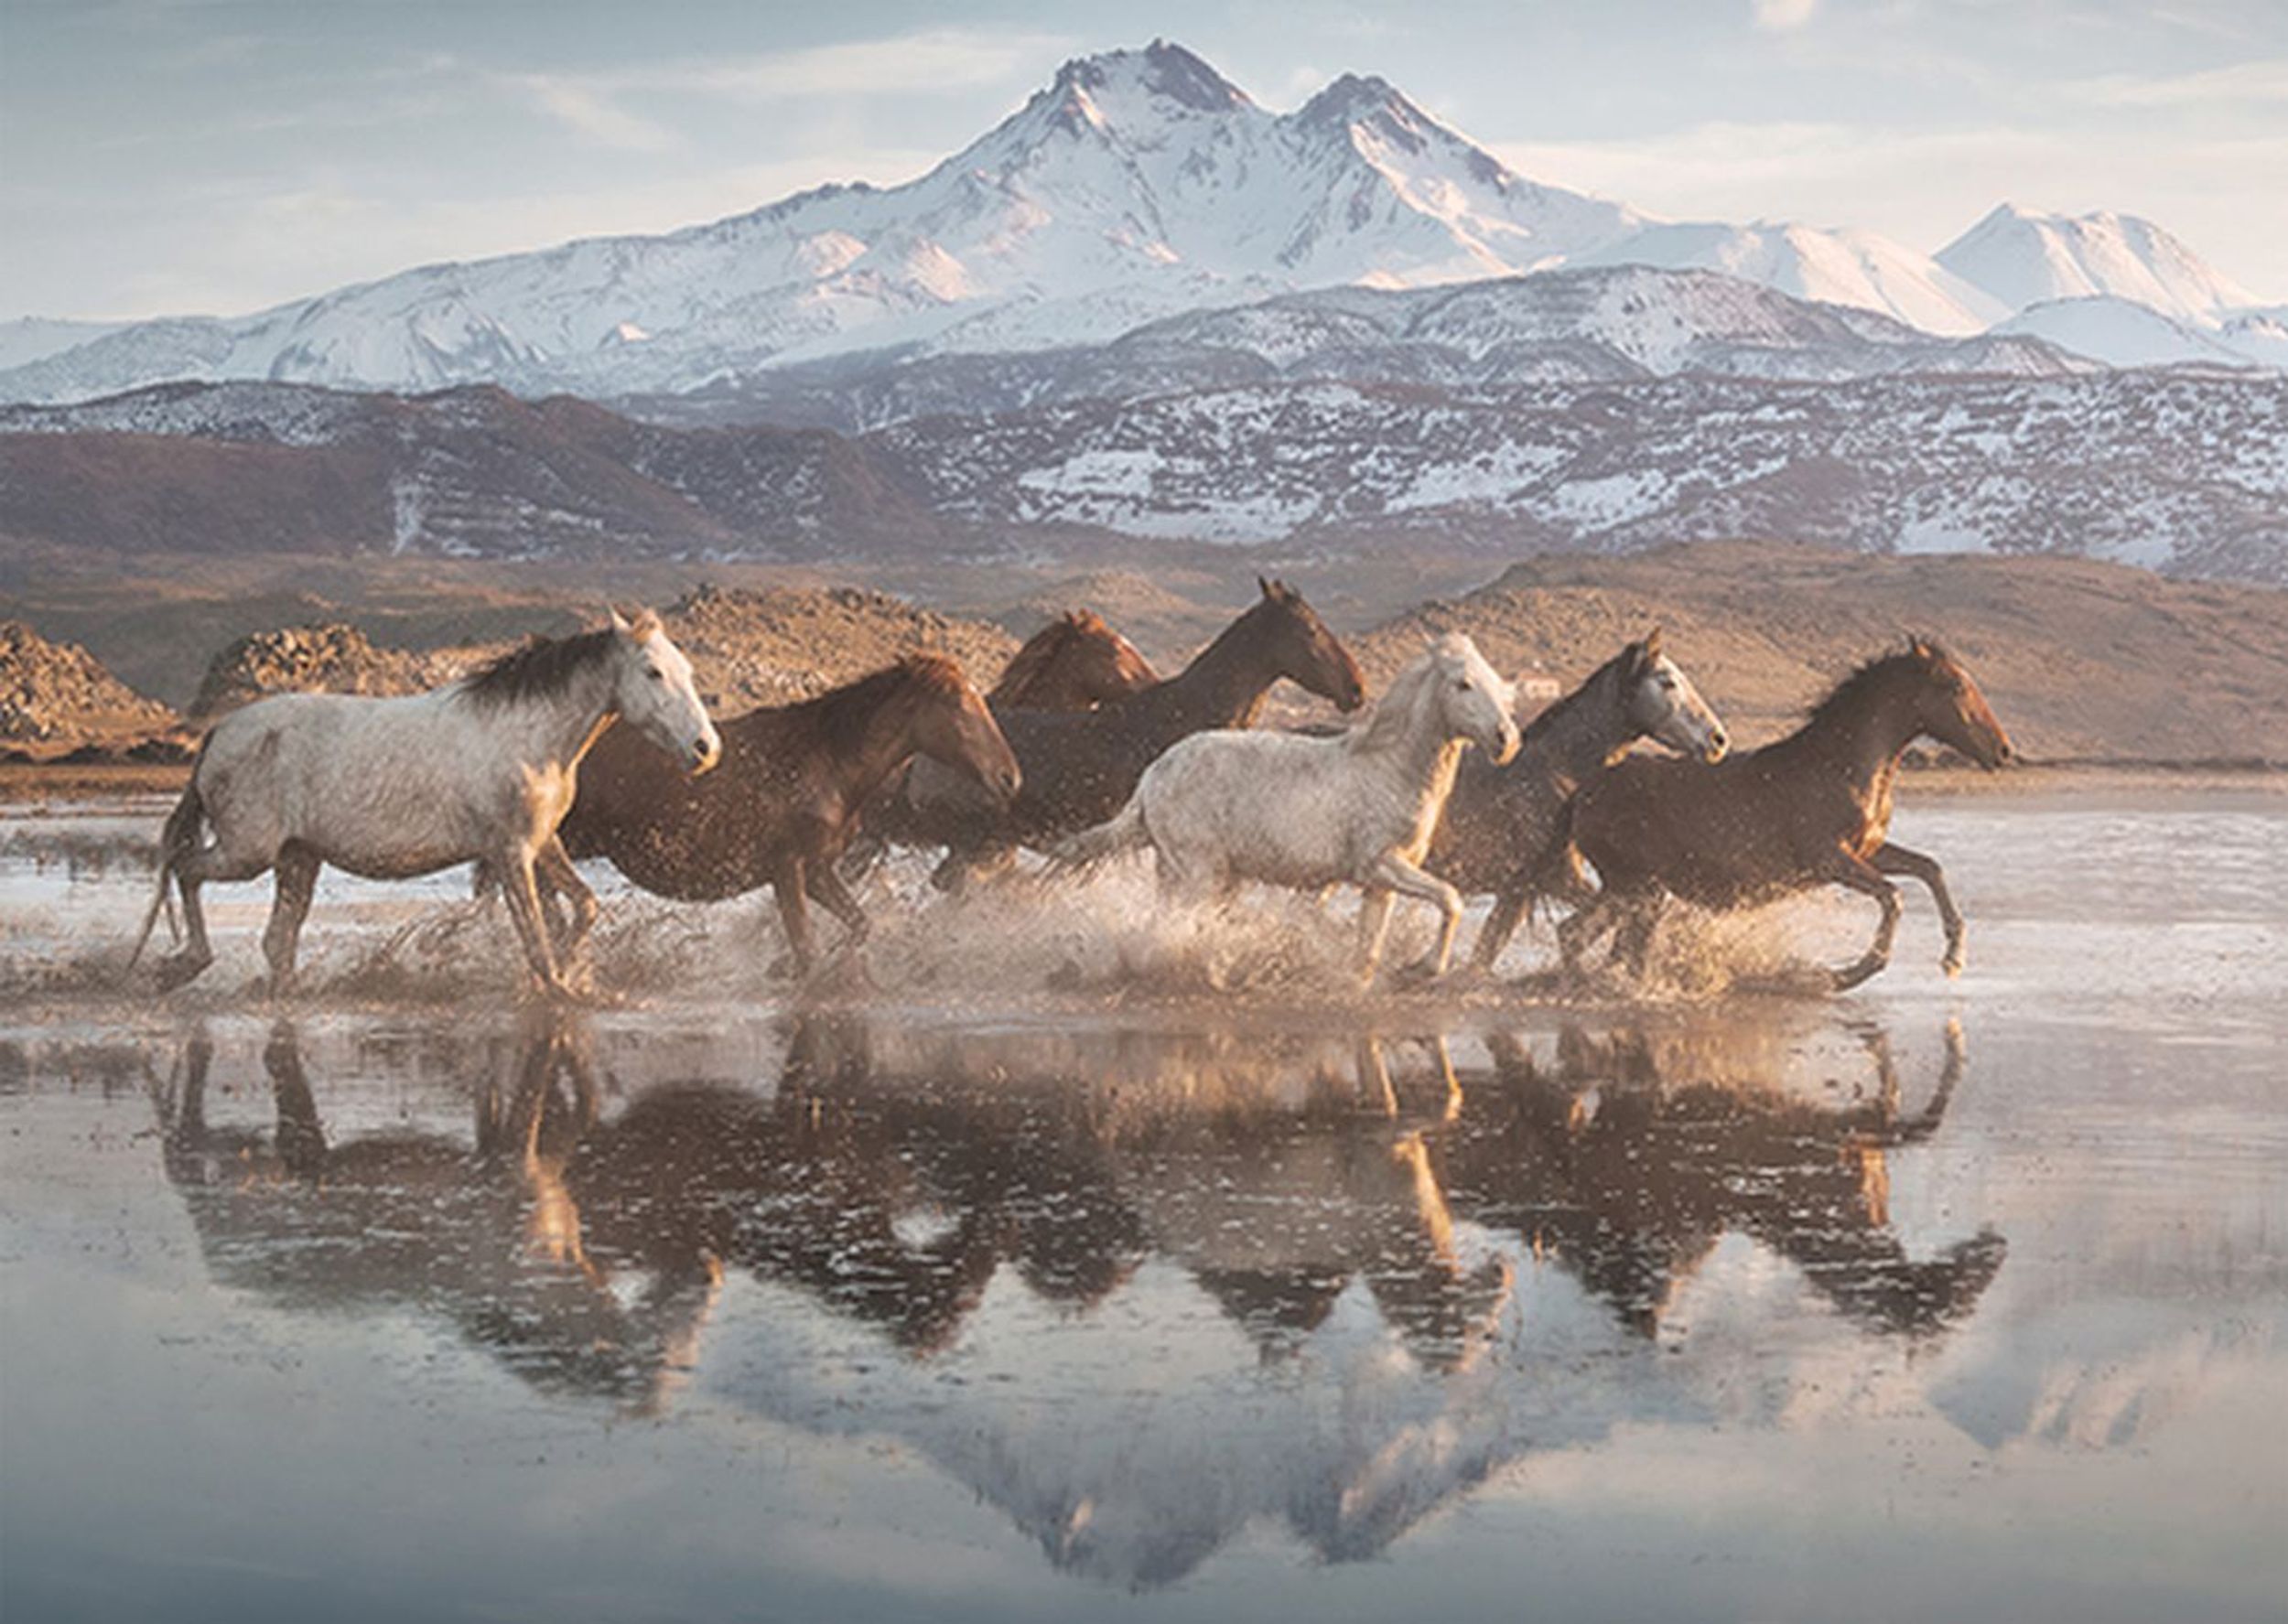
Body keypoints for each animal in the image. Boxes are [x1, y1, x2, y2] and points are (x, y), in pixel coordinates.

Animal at [128, 608, 719, 997]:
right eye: (653, 672)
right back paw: (185, 963)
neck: (528, 735)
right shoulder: (510, 854)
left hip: (298, 858)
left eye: (688, 671)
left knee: (277, 940)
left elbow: (584, 908)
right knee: (187, 870)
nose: (705, 749)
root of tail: (218, 734)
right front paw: (558, 989)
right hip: (247, 852)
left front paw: (576, 974)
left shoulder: (541, 843)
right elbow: (534, 938)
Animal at [542, 653, 1019, 977]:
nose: (1010, 777)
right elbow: (806, 949)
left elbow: (858, 925)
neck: (831, 763)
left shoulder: (818, 870)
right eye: (959, 706)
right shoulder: (787, 867)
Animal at [1055, 633, 1520, 985]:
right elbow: (1451, 899)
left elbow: (1369, 950)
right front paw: (1425, 967)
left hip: (1180, 872)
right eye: (1463, 684)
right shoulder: (1378, 864)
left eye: (1498, 682)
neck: (1389, 770)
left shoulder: (1381, 884)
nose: (1506, 740)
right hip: (1199, 874)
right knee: (1176, 930)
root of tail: (1153, 776)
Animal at [1428, 630, 1728, 972]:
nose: (1717, 739)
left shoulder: (1518, 891)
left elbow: (1486, 952)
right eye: (1668, 681)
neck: (1558, 773)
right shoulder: (1557, 880)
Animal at [1558, 637, 2014, 990]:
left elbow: (1929, 868)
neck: (1842, 766)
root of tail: (1585, 794)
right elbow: (1893, 896)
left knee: (1578, 935)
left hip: (1628, 890)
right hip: (1638, 888)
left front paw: (1954, 956)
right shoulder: (1829, 859)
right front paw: (1849, 972)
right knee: (1606, 945)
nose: (2004, 751)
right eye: (1955, 686)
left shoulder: (1867, 851)